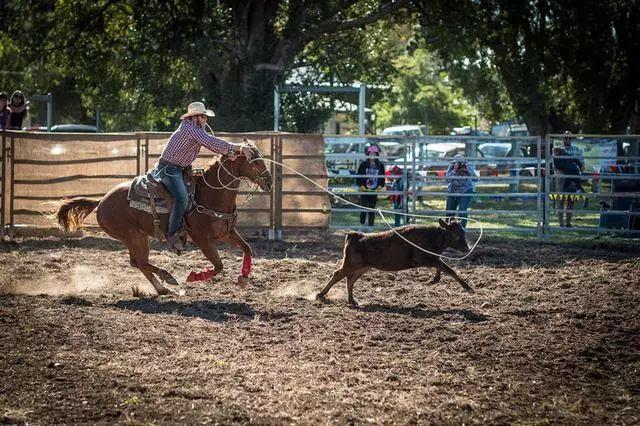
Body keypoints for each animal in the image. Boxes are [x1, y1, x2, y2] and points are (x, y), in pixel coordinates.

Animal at [55, 146, 272, 296]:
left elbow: (247, 249)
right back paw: (168, 278)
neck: (210, 194)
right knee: (140, 262)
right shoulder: (202, 239)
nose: (269, 182)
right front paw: (194, 276)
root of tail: (100, 201)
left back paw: (163, 288)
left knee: (138, 262)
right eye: (254, 161)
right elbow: (219, 265)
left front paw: (243, 278)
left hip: (136, 237)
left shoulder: (226, 233)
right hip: (133, 236)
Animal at [318, 218, 472, 304]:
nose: (467, 248)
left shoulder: (433, 258)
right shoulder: (421, 259)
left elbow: (447, 269)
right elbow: (442, 267)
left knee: (350, 280)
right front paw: (435, 280)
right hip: (351, 264)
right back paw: (320, 294)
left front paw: (466, 286)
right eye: (456, 234)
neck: (433, 237)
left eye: (464, 232)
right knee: (337, 274)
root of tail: (354, 236)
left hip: (363, 267)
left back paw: (352, 301)